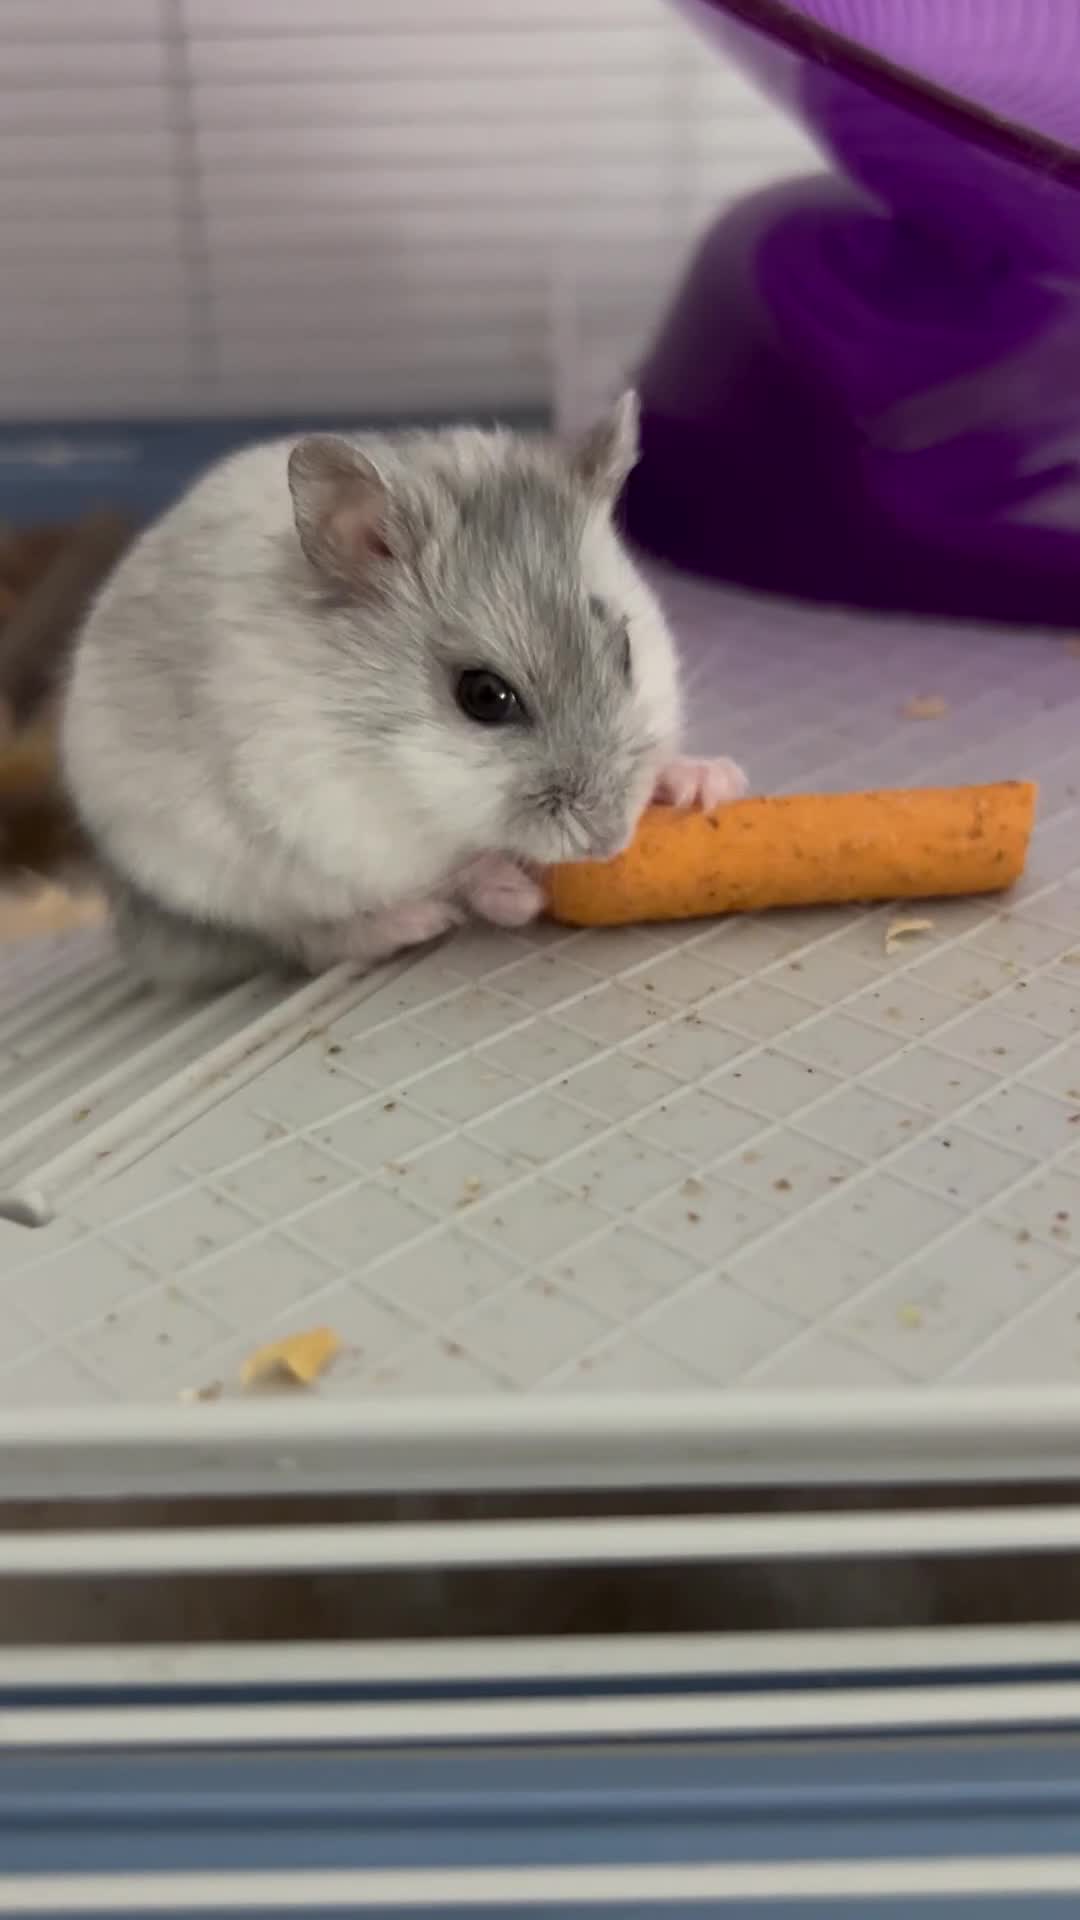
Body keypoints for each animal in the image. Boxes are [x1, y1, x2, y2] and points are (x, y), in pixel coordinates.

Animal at [61, 393, 747, 990]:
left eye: (626, 651)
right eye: (484, 697)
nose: (608, 844)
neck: (401, 777)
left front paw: (711, 781)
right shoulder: (336, 821)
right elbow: (450, 867)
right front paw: (514, 894)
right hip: (227, 881)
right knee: (303, 939)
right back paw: (413, 924)